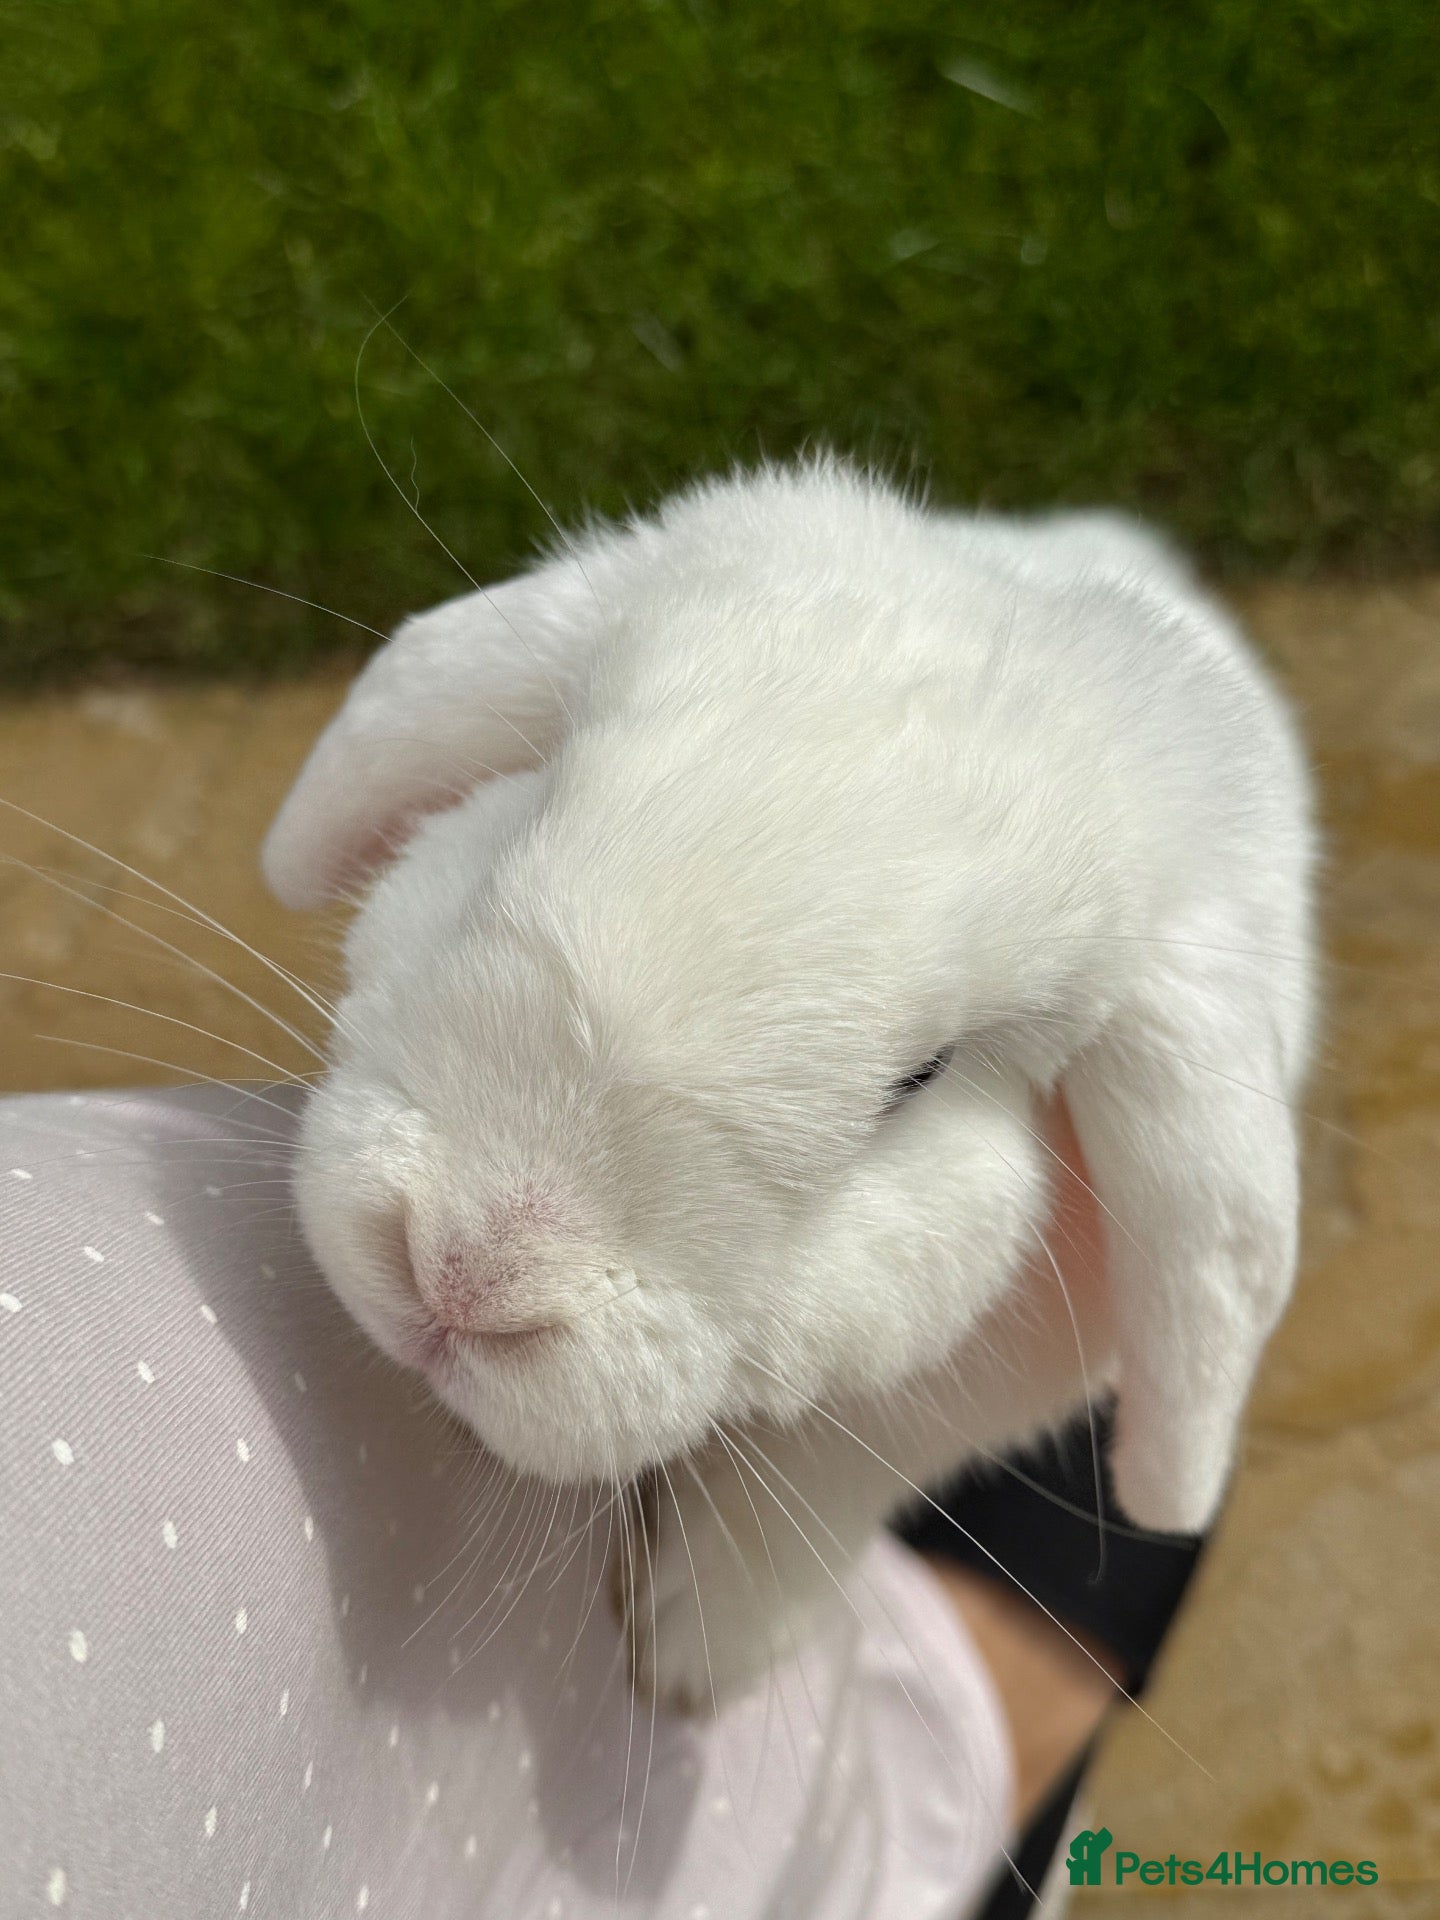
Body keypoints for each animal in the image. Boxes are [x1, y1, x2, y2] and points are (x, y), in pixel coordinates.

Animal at [262, 456, 1316, 1709]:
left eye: (919, 1079)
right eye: (532, 808)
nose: (459, 1276)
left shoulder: (957, 1399)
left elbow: (821, 1486)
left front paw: (690, 1655)